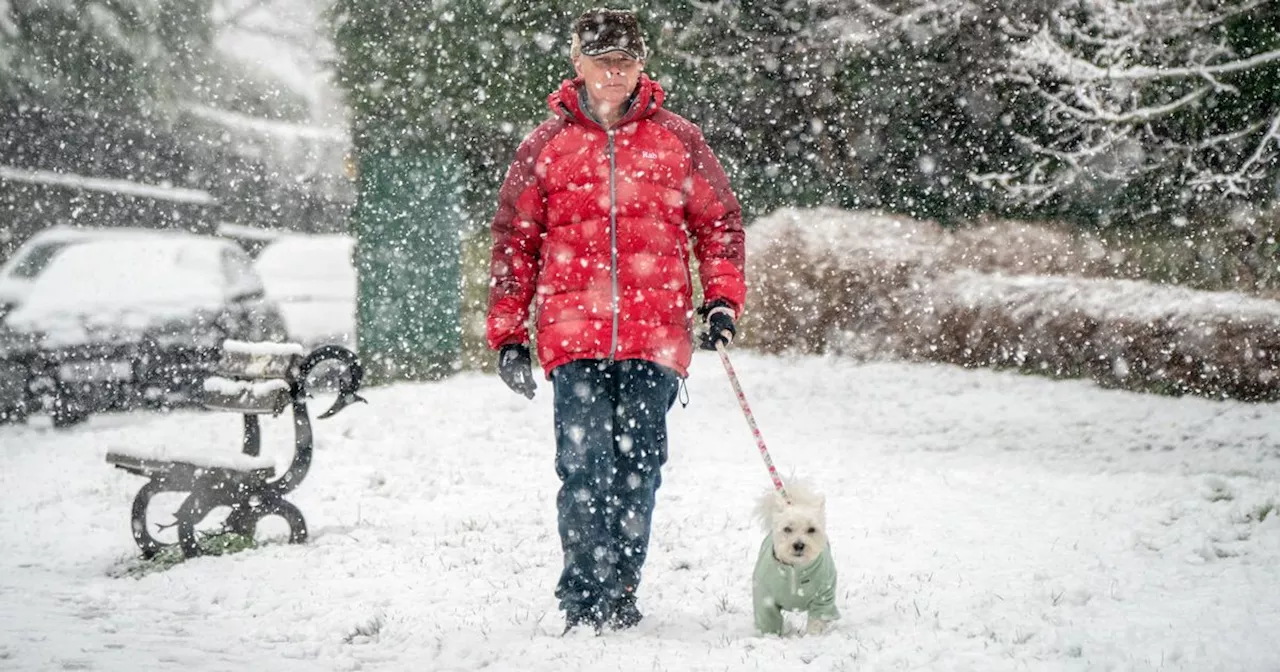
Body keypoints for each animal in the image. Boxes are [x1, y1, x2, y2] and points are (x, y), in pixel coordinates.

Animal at [747, 481, 839, 634]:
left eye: (812, 529)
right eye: (787, 529)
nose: (799, 545)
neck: (795, 569)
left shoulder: (823, 596)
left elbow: (817, 620)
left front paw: (813, 636)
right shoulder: (765, 599)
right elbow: (769, 620)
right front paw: (771, 636)